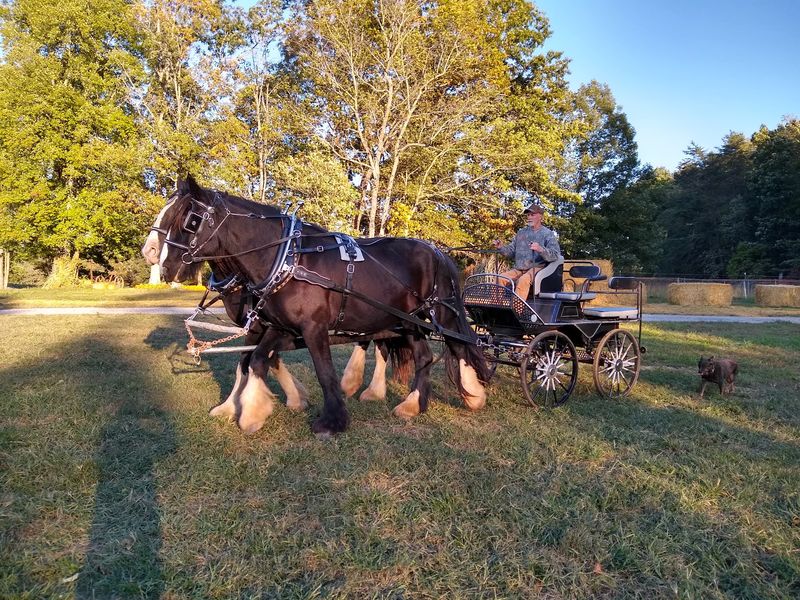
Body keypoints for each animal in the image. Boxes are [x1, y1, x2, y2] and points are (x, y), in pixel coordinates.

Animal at [142, 175, 490, 436]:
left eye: (191, 220)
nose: (152, 255)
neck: (286, 258)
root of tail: (439, 253)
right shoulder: (274, 325)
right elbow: (255, 360)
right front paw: (247, 409)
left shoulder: (312, 328)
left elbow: (322, 372)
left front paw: (332, 420)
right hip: (406, 322)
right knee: (421, 356)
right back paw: (410, 404)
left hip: (438, 316)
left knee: (459, 347)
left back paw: (471, 395)